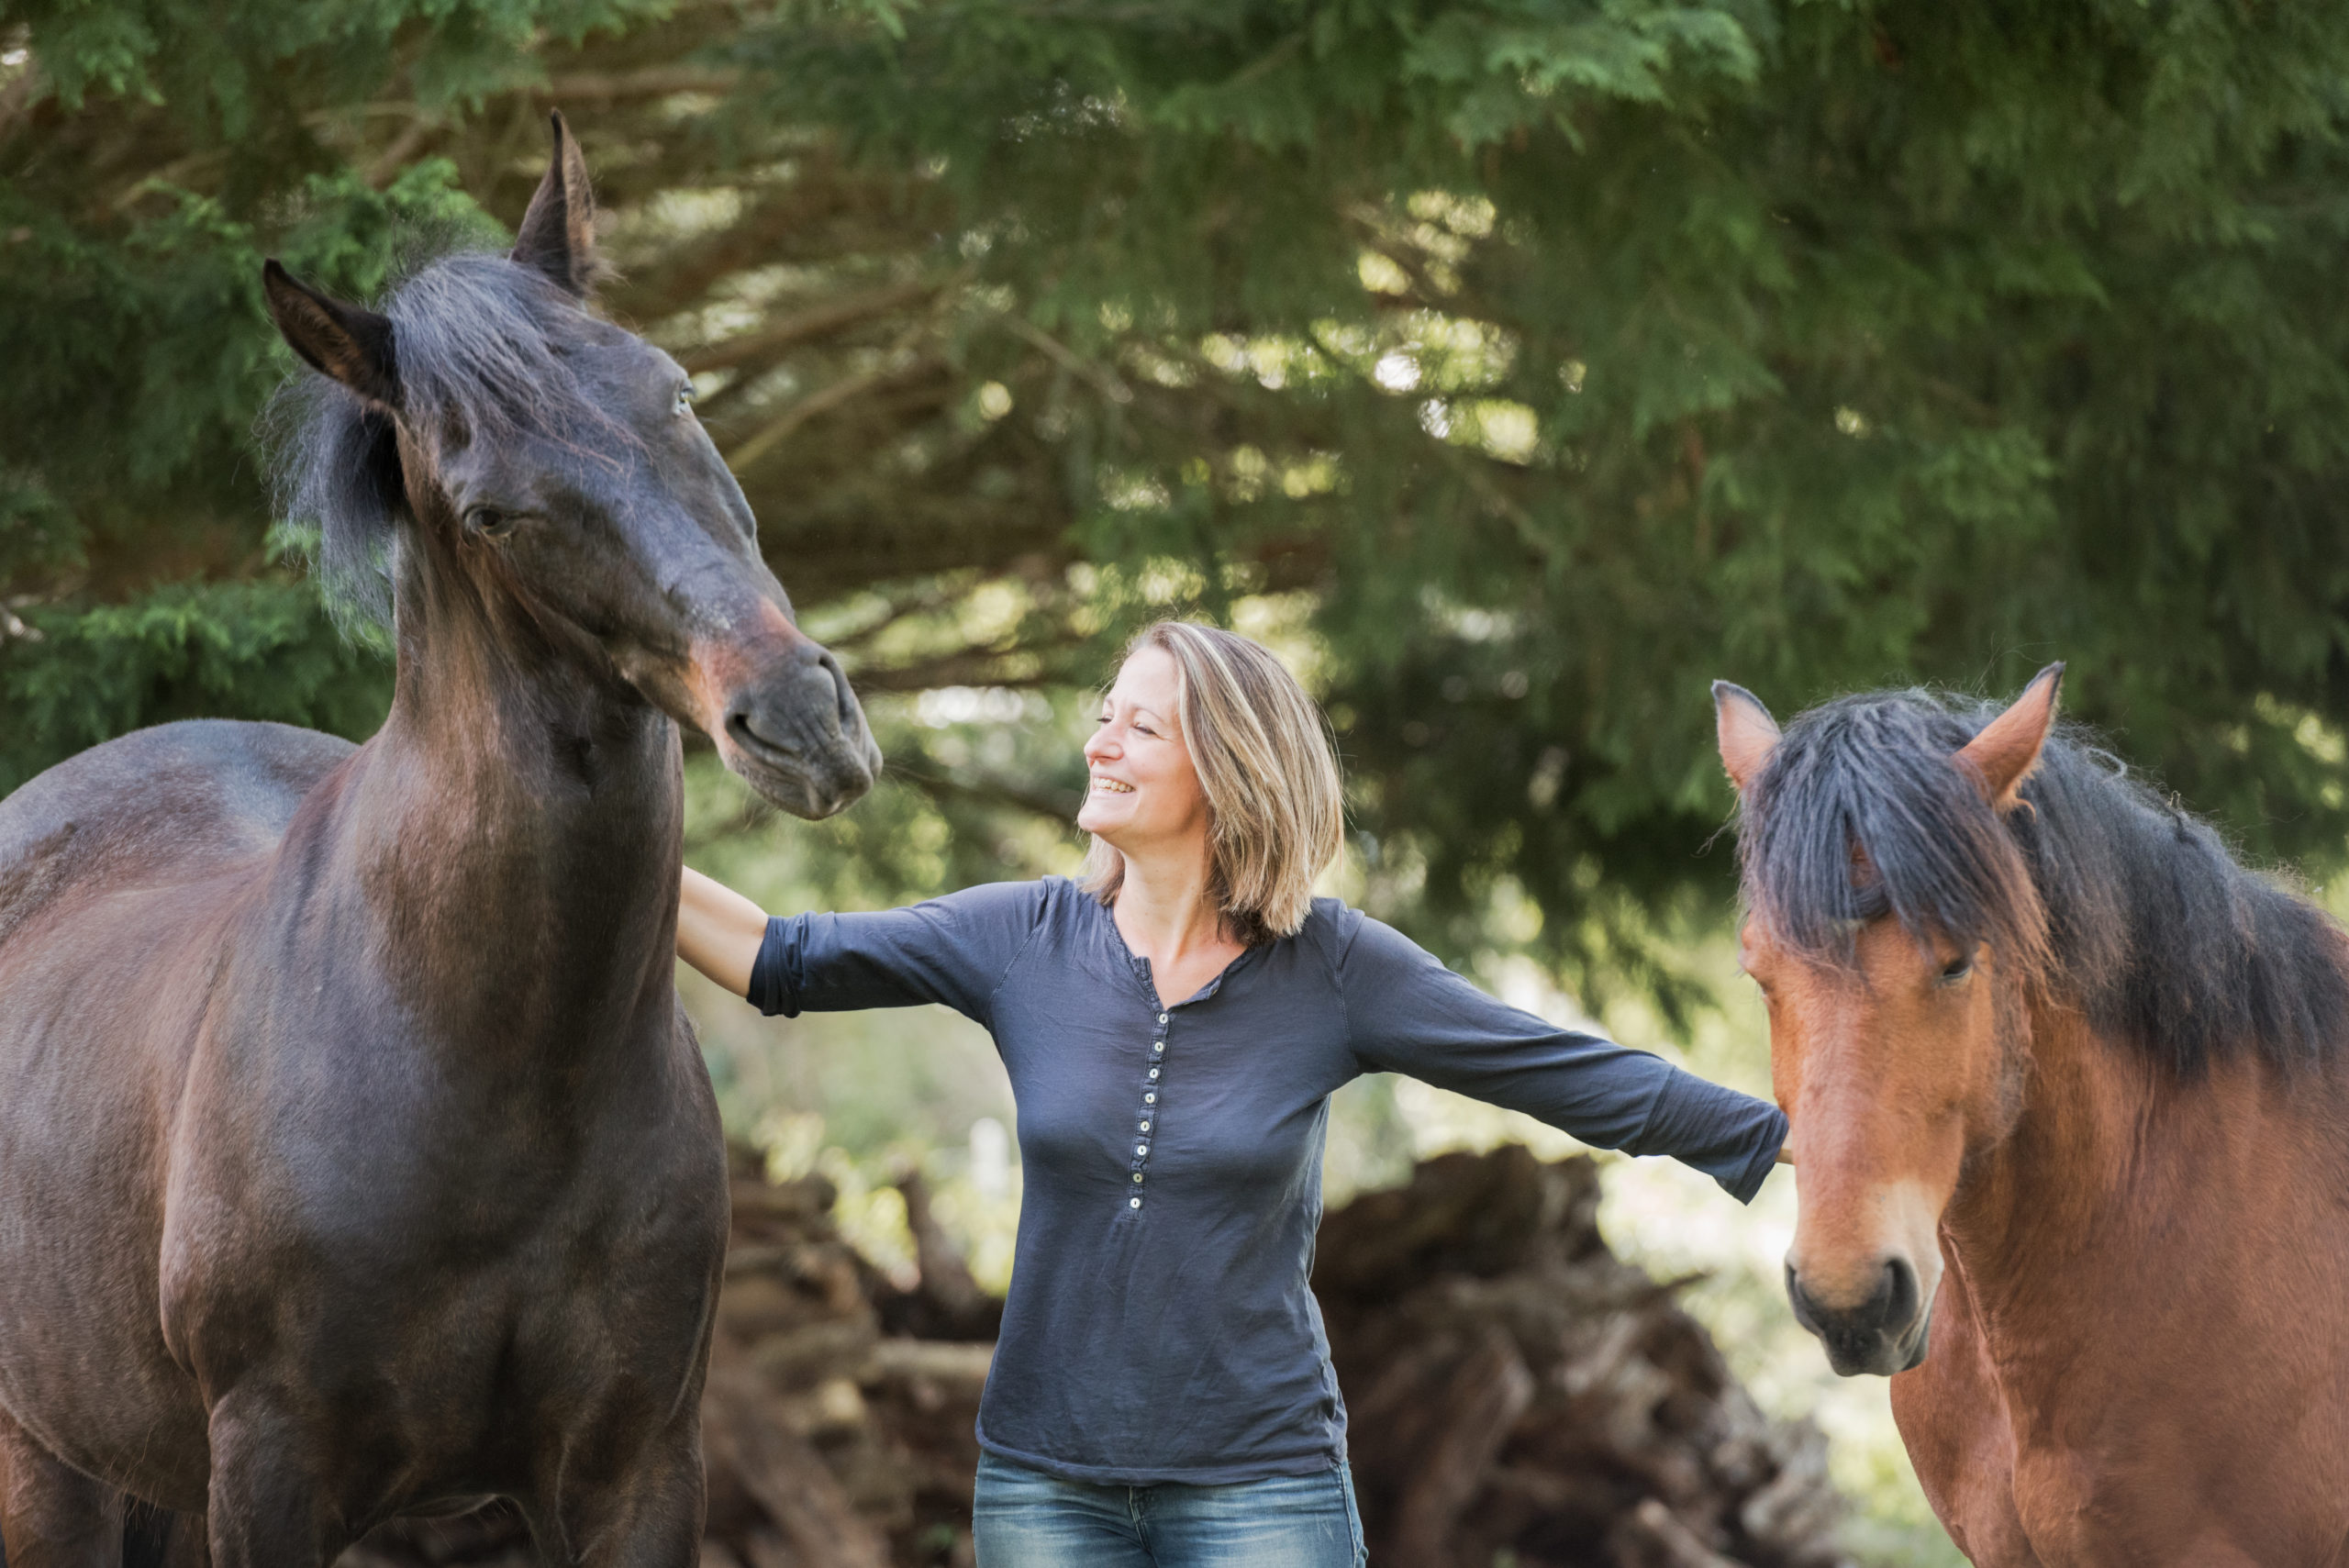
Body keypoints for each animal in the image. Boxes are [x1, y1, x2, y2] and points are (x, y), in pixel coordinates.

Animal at [0, 114, 880, 1567]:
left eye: (676, 393)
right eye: (489, 515)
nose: (802, 719)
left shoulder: (637, 1472)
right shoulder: (272, 1475)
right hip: (47, 1465)